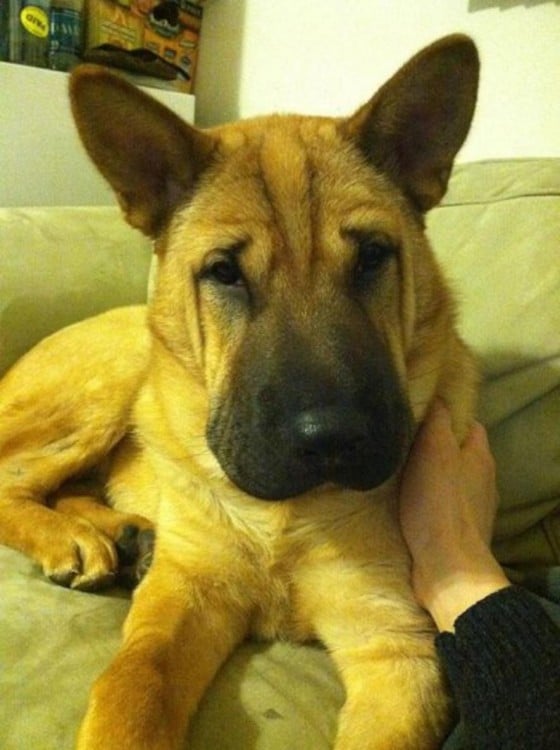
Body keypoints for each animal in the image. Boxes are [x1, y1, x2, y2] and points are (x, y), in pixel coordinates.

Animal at [2, 35, 480, 750]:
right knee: (14, 479)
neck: (286, 520)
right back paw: (73, 540)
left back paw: (121, 534)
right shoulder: (183, 598)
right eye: (225, 272)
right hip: (116, 377)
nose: (331, 438)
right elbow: (132, 686)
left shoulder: (395, 644)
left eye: (372, 256)